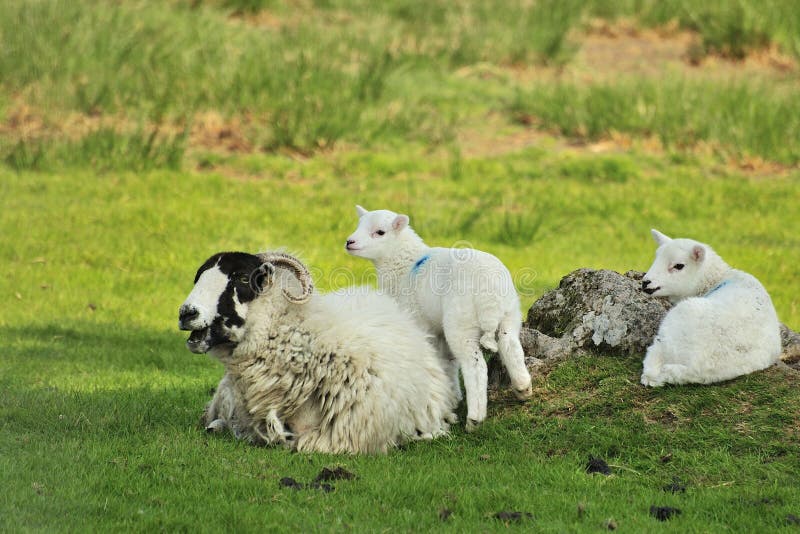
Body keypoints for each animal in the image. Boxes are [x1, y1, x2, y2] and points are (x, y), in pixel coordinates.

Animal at [346, 205, 536, 432]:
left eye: (380, 232)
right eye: (359, 225)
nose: (349, 242)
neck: (403, 266)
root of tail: (489, 294)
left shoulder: (420, 323)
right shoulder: (438, 329)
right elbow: (448, 362)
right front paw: (453, 396)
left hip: (461, 321)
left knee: (475, 366)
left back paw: (474, 419)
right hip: (510, 312)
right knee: (511, 346)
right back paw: (523, 389)